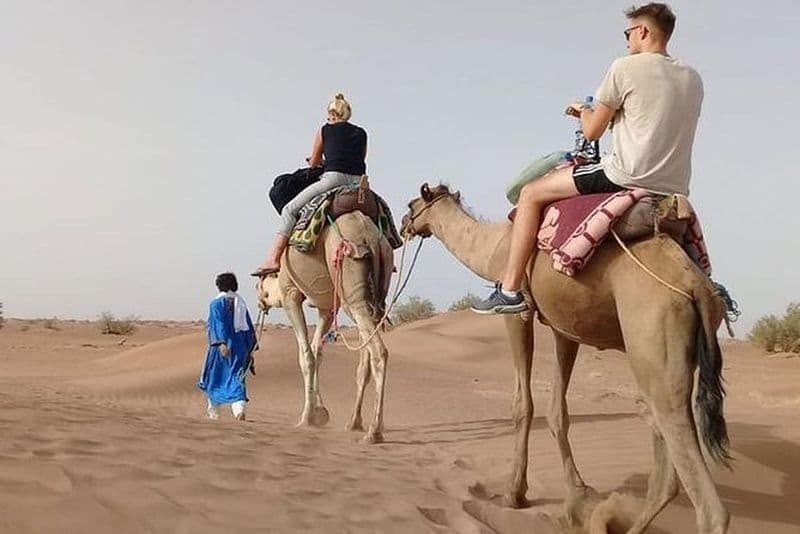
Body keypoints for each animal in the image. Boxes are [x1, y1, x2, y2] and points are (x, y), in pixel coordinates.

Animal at [256, 210, 395, 444]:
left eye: (259, 287)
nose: (260, 303)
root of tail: (369, 234)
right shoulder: (327, 308)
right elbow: (317, 352)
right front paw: (320, 411)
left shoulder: (290, 293)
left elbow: (306, 356)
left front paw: (306, 418)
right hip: (377, 281)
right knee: (365, 356)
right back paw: (356, 422)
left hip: (348, 270)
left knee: (378, 351)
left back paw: (373, 432)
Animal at [400, 184, 731, 534]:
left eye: (412, 204)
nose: (404, 225)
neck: (495, 246)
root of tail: (696, 287)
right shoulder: (564, 328)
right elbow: (558, 412)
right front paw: (577, 496)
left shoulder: (520, 312)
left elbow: (523, 406)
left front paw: (514, 494)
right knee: (666, 466)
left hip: (654, 337)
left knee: (704, 498)